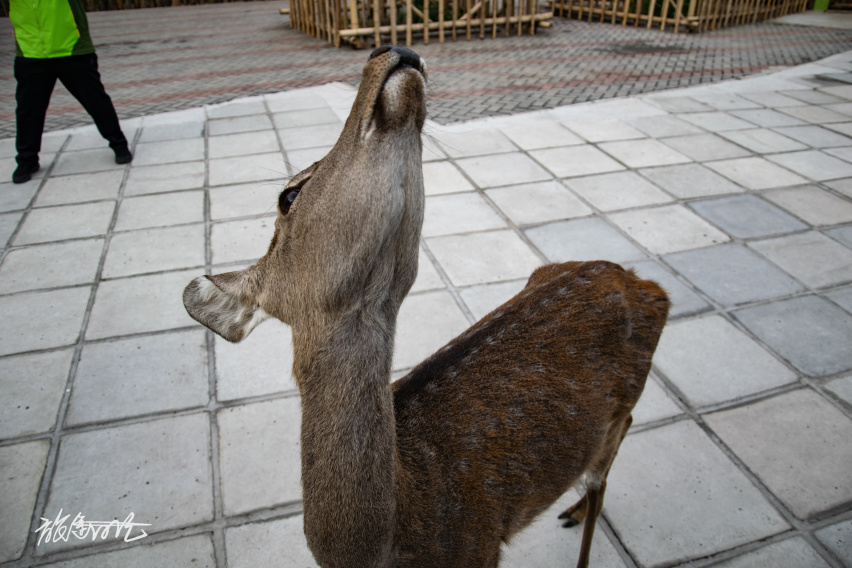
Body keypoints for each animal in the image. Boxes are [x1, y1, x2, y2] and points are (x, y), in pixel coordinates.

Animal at [183, 45, 668, 568]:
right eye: (289, 194)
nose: (390, 50)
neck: (387, 545)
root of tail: (648, 286)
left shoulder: (481, 547)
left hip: (621, 405)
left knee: (605, 468)